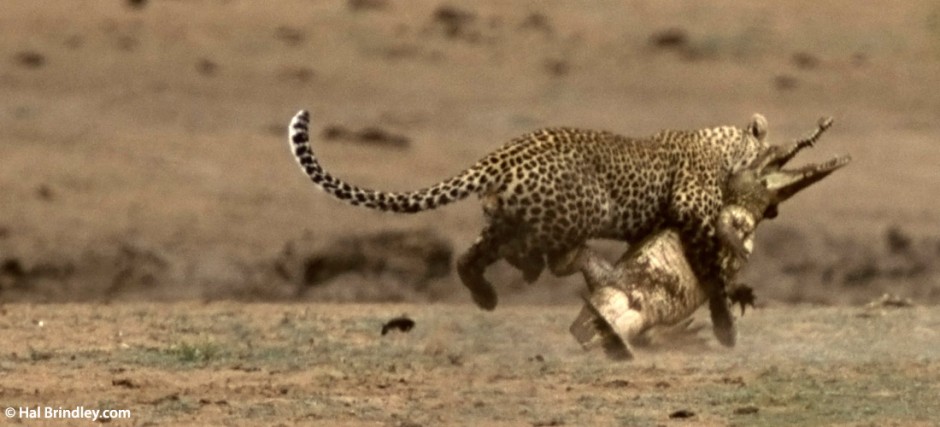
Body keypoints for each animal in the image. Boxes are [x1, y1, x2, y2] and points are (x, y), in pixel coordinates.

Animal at [288, 109, 772, 344]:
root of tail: (502, 154)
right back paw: (534, 269)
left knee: (473, 254)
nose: (768, 195)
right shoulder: (692, 214)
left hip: (509, 213)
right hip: (582, 207)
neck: (722, 145)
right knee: (528, 248)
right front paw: (726, 327)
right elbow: (711, 270)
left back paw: (487, 294)